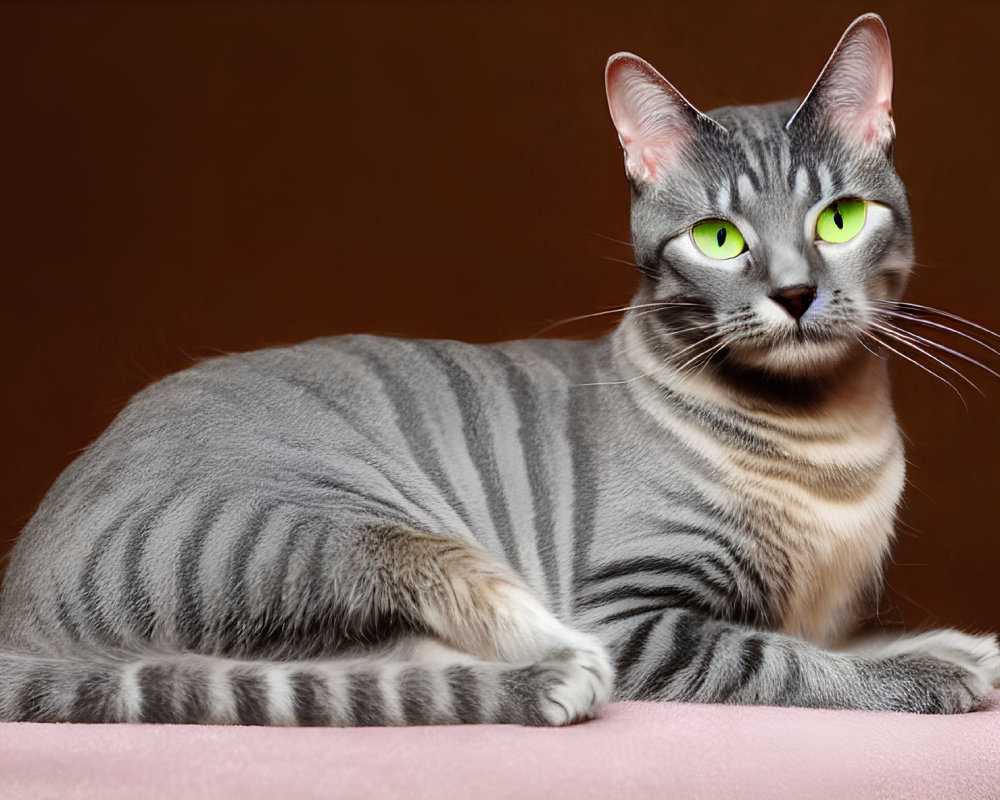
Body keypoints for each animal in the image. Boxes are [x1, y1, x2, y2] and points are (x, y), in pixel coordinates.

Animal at [1, 12, 1000, 724]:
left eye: (840, 219)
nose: (795, 292)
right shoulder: (635, 615)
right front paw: (928, 673)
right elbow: (785, 656)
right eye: (720, 238)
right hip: (350, 536)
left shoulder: (836, 605)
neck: (830, 438)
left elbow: (859, 634)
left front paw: (956, 645)